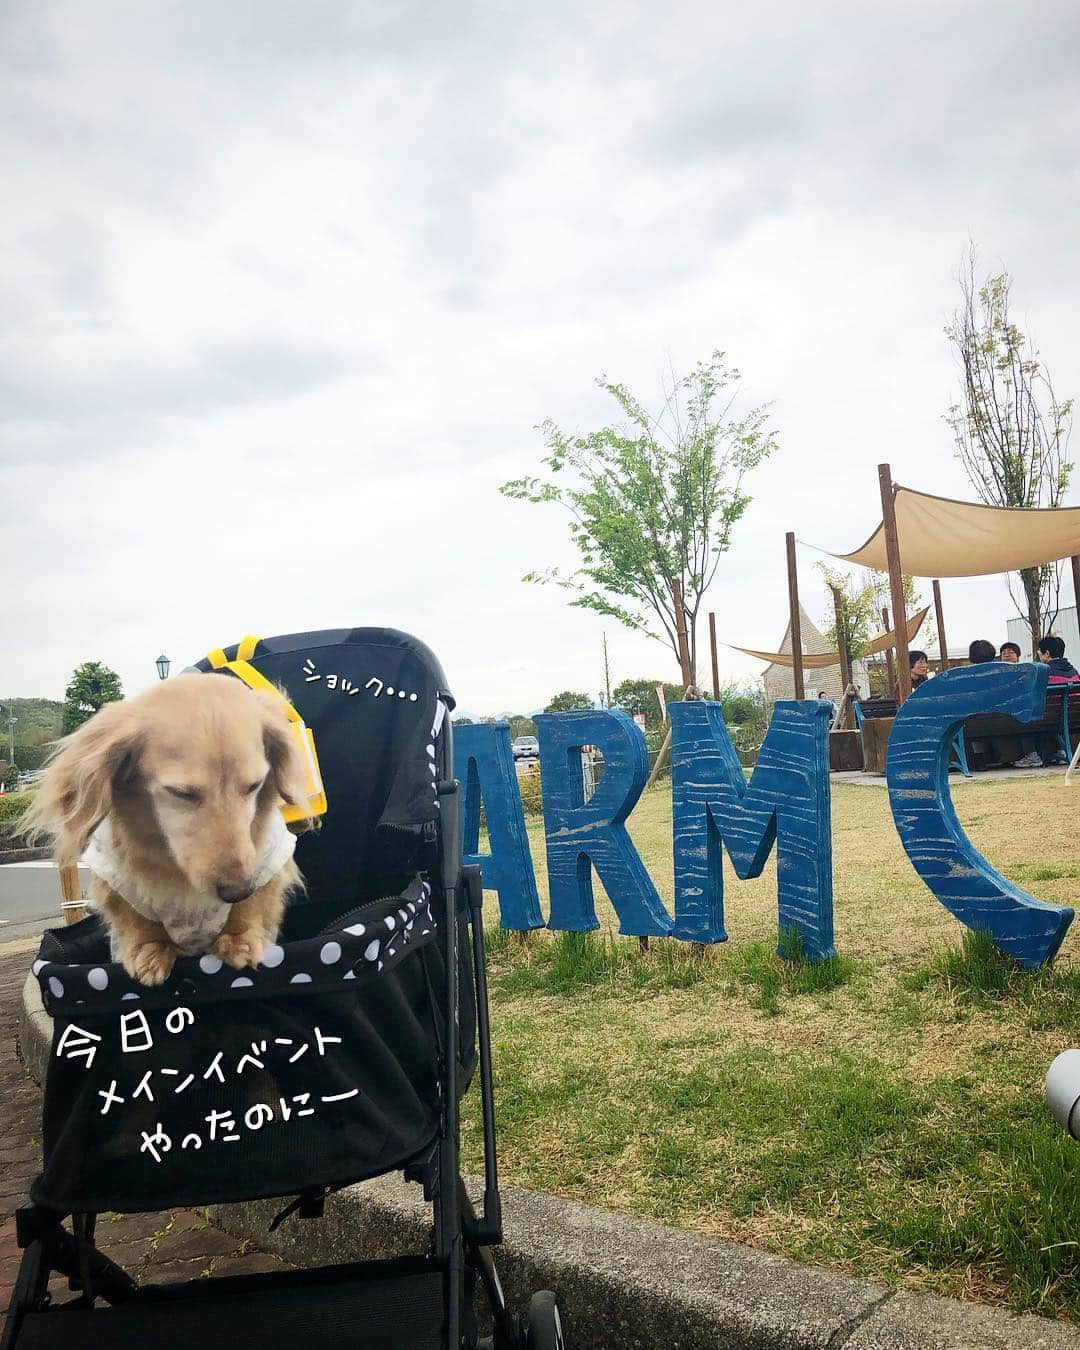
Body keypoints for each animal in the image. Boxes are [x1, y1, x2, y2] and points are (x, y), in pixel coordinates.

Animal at [24, 680, 307, 988]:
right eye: (182, 793)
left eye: (254, 786)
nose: (237, 890)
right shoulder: (116, 877)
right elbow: (135, 917)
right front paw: (150, 951)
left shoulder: (268, 861)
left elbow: (254, 904)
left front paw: (238, 939)